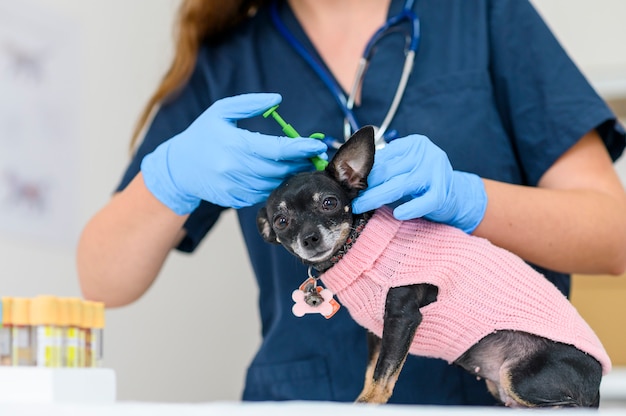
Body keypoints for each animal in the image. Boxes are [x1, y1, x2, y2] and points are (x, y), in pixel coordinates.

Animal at [256, 126, 608, 406]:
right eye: (282, 221)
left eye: (329, 203)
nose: (309, 237)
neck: (355, 248)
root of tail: (596, 383)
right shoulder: (377, 333)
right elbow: (371, 372)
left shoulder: (402, 318)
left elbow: (382, 376)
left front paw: (368, 404)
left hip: (520, 377)